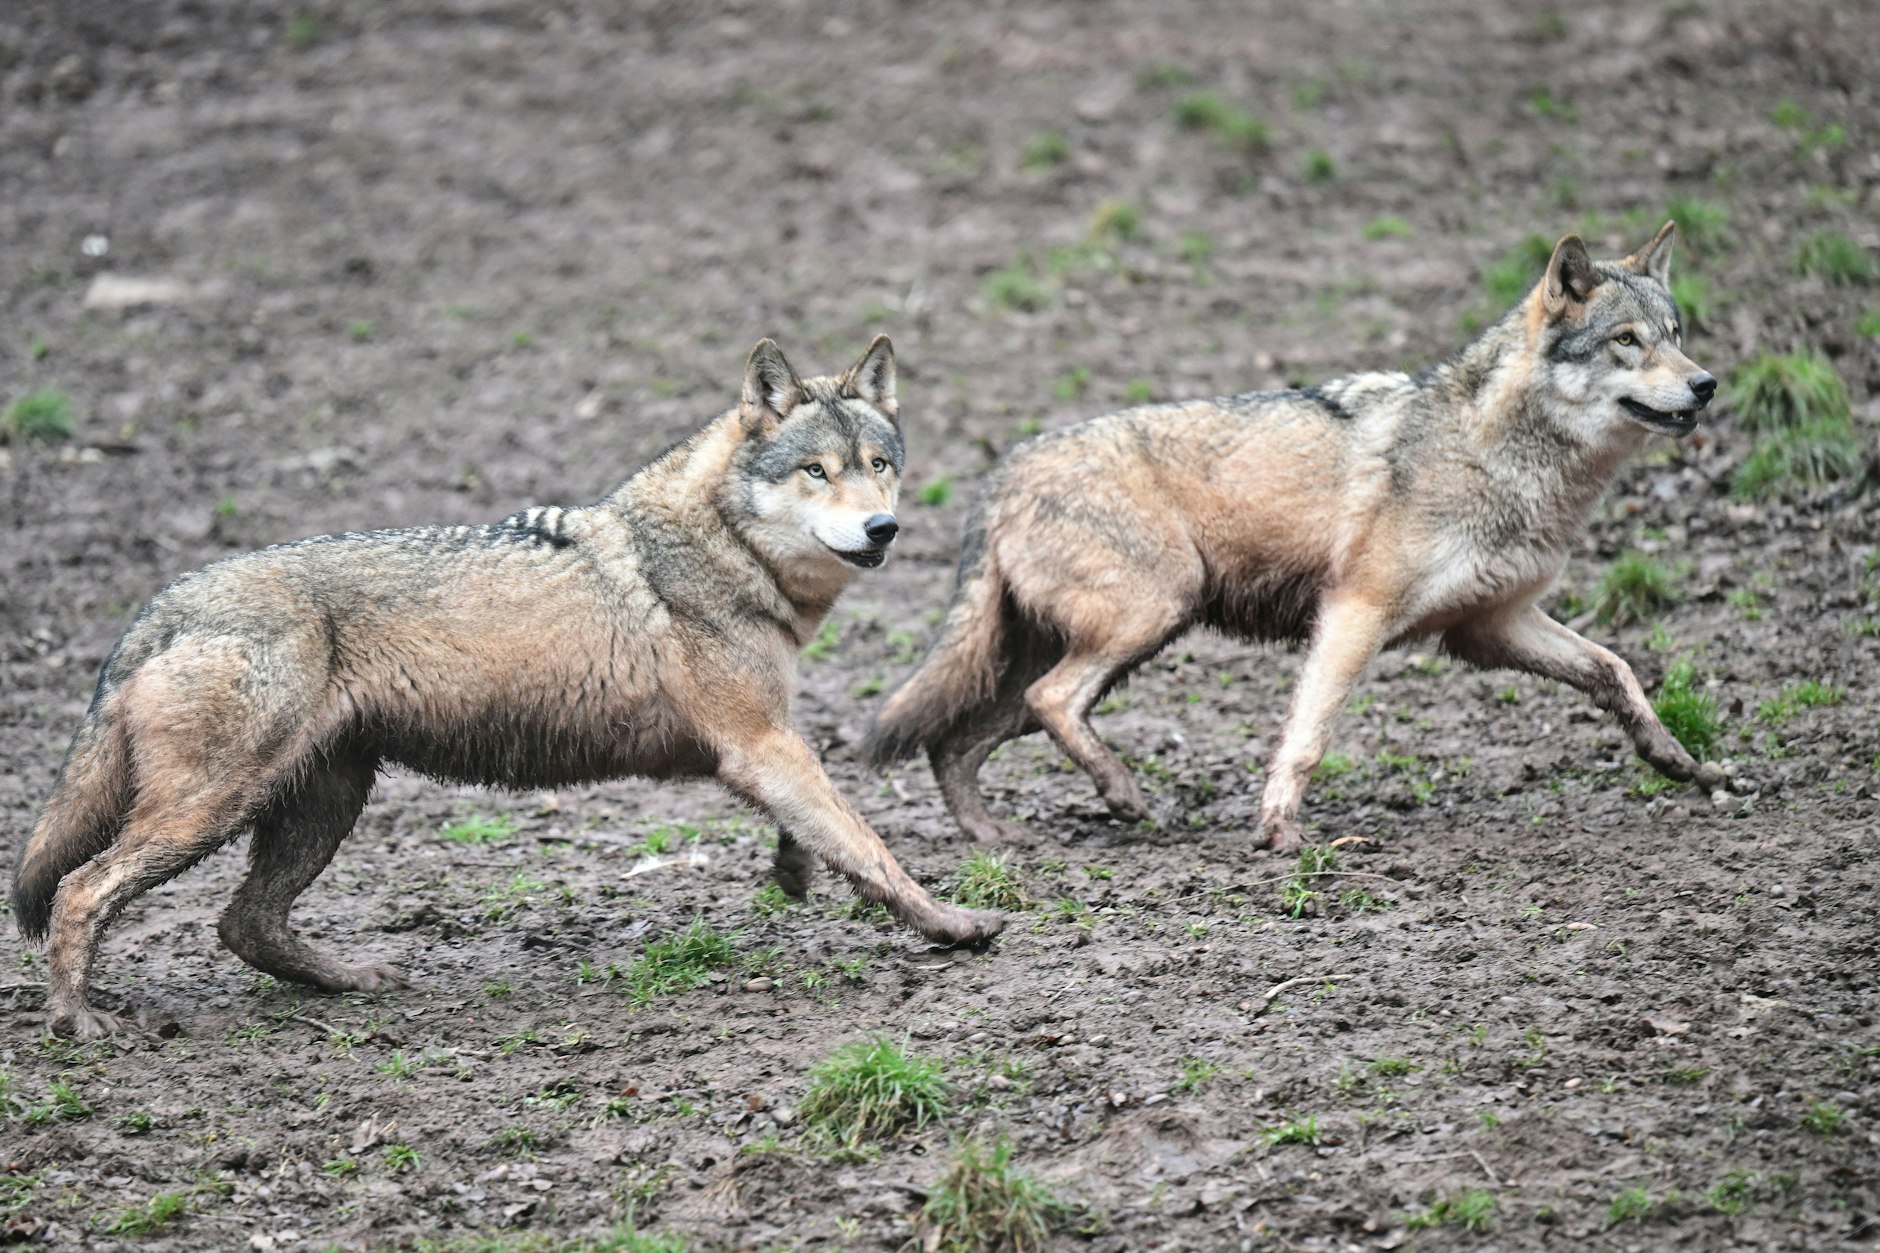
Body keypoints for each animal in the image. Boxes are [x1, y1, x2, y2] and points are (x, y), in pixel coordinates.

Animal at [13, 335, 1002, 1038]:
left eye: (878, 464)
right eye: (815, 471)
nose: (882, 528)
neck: (718, 546)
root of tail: (162, 602)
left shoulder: (765, 746)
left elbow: (819, 833)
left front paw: (795, 874)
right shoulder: (762, 743)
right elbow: (871, 844)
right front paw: (950, 923)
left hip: (319, 804)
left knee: (241, 923)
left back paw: (354, 982)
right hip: (214, 809)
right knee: (83, 890)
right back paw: (78, 1019)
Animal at [866, 224, 1732, 850]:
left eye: (1676, 331)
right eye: (1627, 341)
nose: (1706, 384)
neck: (1501, 456)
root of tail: (1004, 469)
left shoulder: (1492, 626)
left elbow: (1617, 671)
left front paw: (1682, 763)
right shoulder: (1354, 612)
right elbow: (1308, 734)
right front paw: (1279, 828)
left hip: (1086, 651)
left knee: (959, 741)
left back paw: (995, 835)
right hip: (1149, 619)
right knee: (1046, 704)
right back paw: (1126, 798)